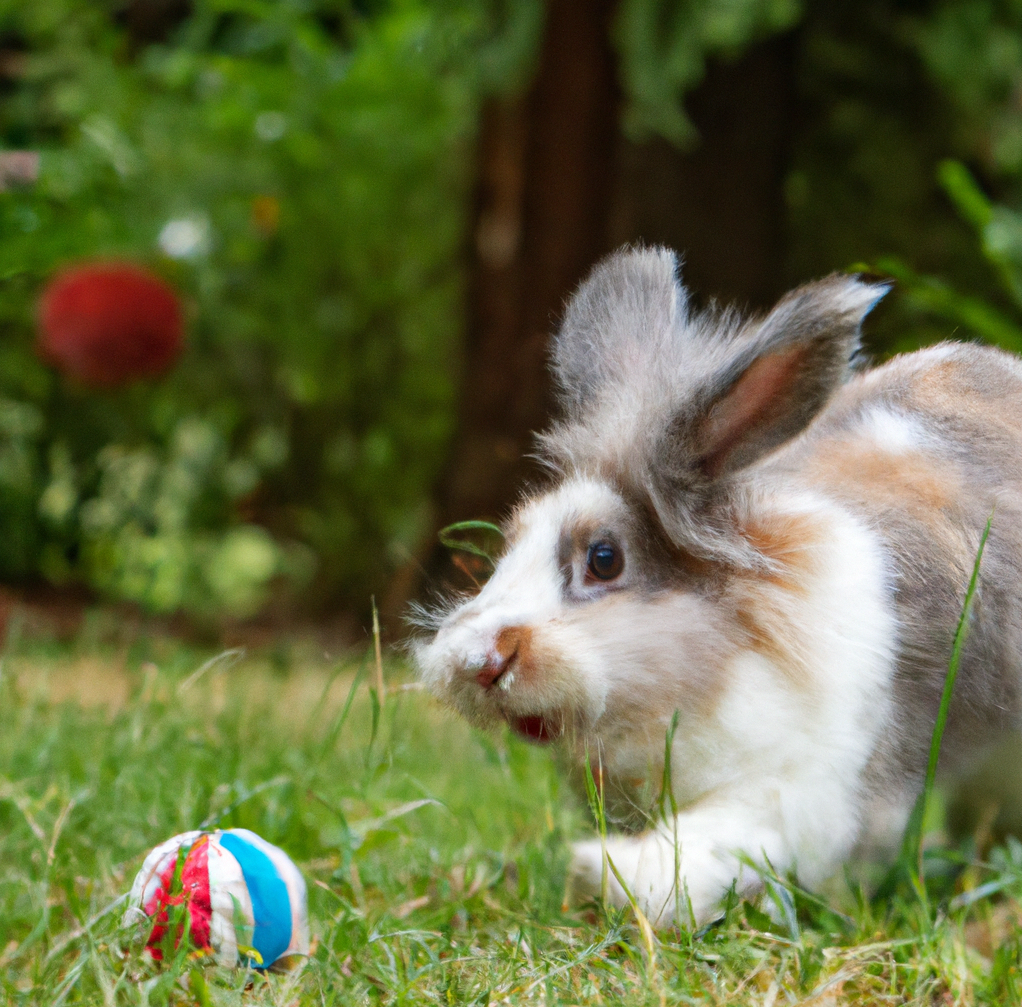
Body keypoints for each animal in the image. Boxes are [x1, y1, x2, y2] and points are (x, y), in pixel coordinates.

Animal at [410, 245, 1021, 928]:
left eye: (603, 558)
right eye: (510, 541)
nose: (475, 662)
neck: (711, 672)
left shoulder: (800, 798)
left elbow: (705, 851)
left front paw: (607, 873)